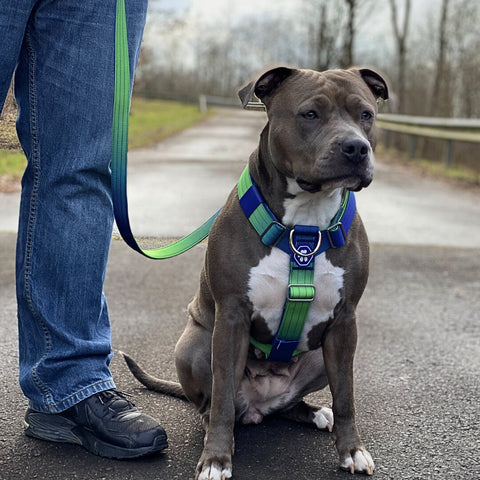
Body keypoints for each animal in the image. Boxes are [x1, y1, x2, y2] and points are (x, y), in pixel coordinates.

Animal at [122, 65, 388, 478]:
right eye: (310, 114)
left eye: (366, 114)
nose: (357, 148)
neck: (304, 227)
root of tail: (260, 405)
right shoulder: (231, 317)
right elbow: (222, 400)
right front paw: (216, 459)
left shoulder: (345, 322)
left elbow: (346, 396)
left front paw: (352, 451)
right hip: (195, 343)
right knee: (217, 403)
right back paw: (217, 426)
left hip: (318, 357)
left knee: (290, 405)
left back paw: (314, 413)